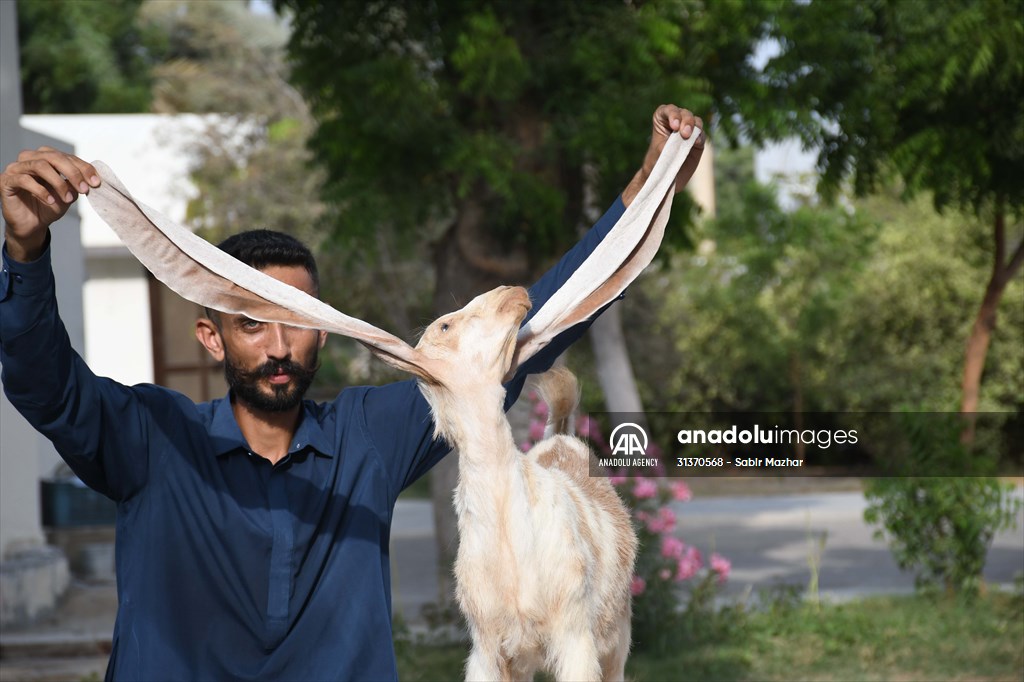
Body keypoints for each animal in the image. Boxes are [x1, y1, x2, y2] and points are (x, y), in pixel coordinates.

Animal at [395, 284, 634, 679]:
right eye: (445, 326)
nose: (511, 291)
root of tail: (562, 436)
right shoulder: (490, 648)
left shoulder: (574, 638)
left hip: (616, 636)